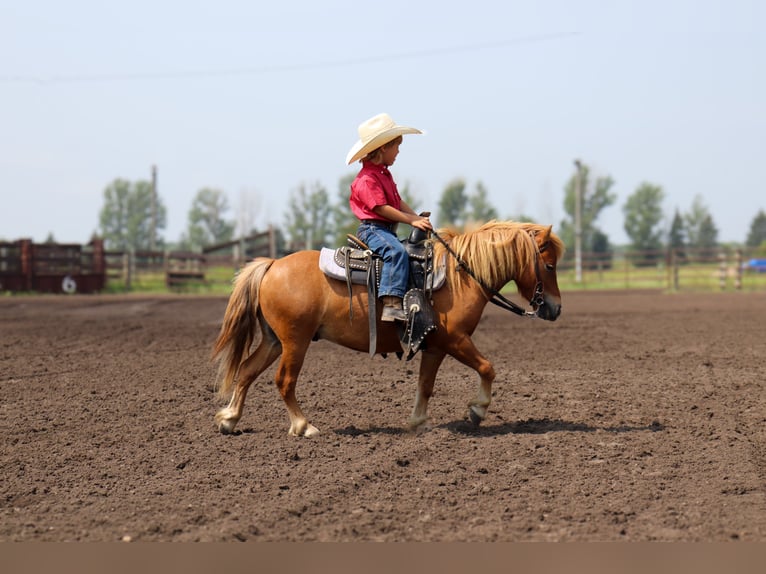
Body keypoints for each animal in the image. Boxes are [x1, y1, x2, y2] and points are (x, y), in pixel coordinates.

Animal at [210, 223, 564, 438]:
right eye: (549, 265)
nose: (556, 308)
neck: (459, 276)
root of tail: (271, 265)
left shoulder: (435, 345)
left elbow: (425, 385)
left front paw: (419, 422)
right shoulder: (455, 340)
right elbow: (488, 368)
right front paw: (477, 410)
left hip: (273, 340)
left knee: (246, 371)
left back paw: (229, 419)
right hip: (295, 341)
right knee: (284, 380)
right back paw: (303, 425)